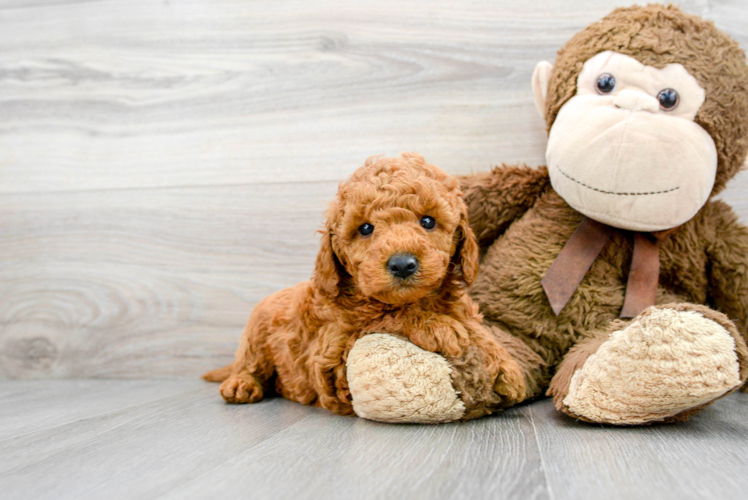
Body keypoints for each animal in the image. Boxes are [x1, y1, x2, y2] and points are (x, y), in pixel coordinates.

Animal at [202, 153, 524, 422]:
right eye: (366, 228)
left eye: (428, 221)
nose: (402, 264)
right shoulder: (331, 359)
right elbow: (384, 316)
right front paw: (438, 326)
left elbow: (477, 329)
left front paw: (506, 366)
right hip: (255, 335)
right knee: (249, 363)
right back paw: (241, 383)